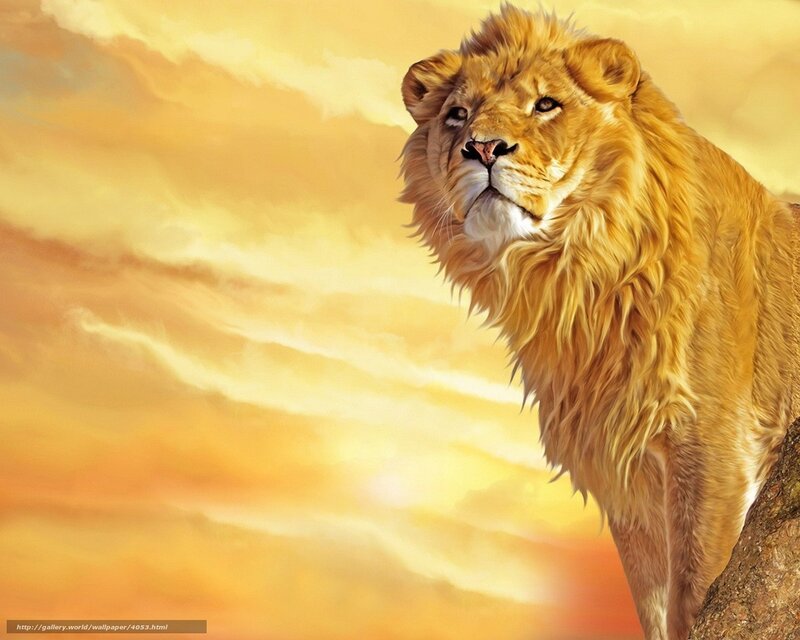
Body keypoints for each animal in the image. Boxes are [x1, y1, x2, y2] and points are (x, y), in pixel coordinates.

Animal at [399, 6, 800, 639]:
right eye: (457, 115)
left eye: (546, 104)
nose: (482, 148)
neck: (574, 279)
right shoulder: (625, 474)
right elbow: (656, 604)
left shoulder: (715, 446)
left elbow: (697, 585)